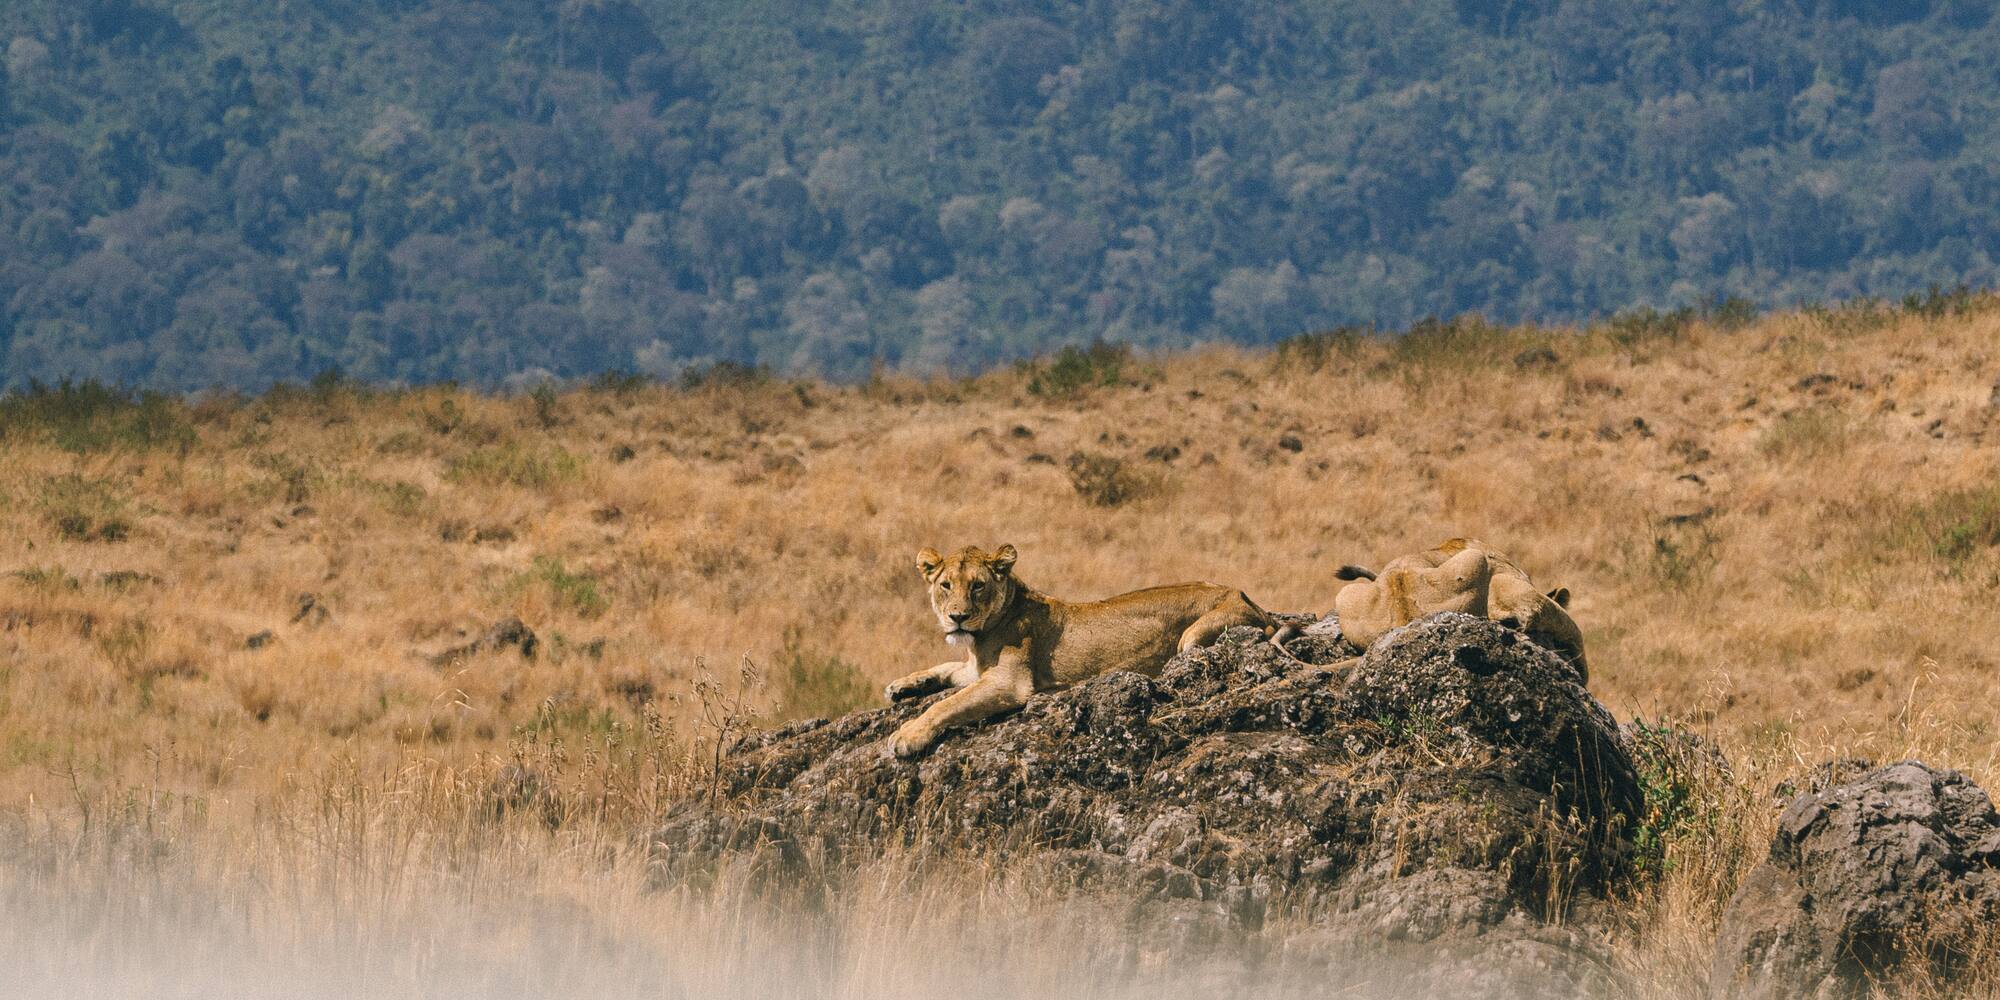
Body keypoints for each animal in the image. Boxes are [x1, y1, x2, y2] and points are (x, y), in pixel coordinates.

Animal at [885, 544, 1277, 758]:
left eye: (977, 586)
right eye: (946, 585)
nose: (958, 618)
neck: (981, 634)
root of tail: (1249, 599)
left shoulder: (1009, 681)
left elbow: (947, 704)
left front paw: (907, 735)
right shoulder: (976, 668)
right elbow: (945, 667)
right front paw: (901, 685)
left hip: (1194, 636)